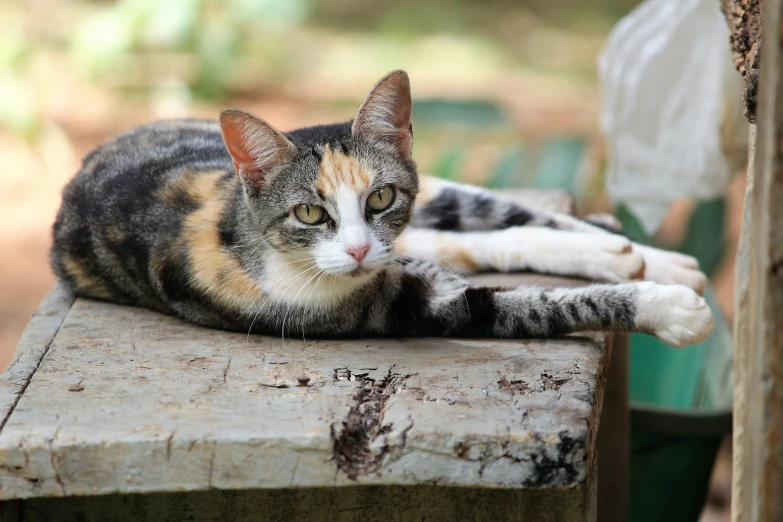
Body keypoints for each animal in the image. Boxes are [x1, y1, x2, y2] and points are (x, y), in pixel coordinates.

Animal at [50, 68, 716, 346]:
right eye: (308, 214)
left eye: (380, 197)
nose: (359, 247)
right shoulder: (414, 308)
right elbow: (532, 307)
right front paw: (671, 310)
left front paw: (661, 283)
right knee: (470, 243)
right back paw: (631, 260)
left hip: (443, 197)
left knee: (502, 220)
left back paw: (640, 251)